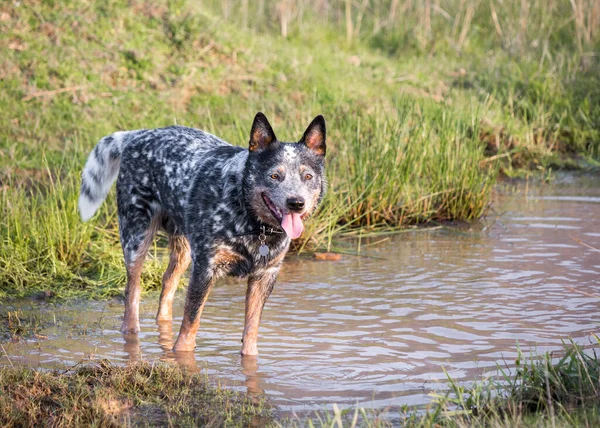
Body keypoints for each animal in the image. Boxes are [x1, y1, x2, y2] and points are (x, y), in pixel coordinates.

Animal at [79, 113, 328, 354]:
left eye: (307, 176)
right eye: (274, 176)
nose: (296, 203)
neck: (252, 222)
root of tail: (136, 135)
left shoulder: (265, 275)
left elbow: (251, 330)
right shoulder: (205, 268)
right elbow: (190, 324)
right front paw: (182, 358)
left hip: (184, 249)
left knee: (167, 282)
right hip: (136, 237)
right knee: (132, 291)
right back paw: (131, 334)